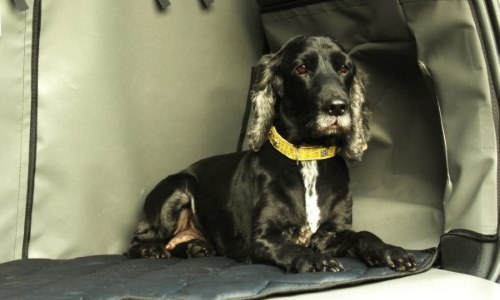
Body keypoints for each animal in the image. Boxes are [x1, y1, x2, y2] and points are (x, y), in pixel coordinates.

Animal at [127, 35, 416, 274]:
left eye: (344, 68)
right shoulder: (262, 238)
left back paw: (195, 247)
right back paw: (153, 249)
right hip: (179, 186)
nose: (338, 107)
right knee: (136, 243)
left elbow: (363, 235)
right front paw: (315, 260)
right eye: (301, 69)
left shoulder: (331, 233)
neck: (309, 156)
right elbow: (292, 248)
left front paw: (391, 252)